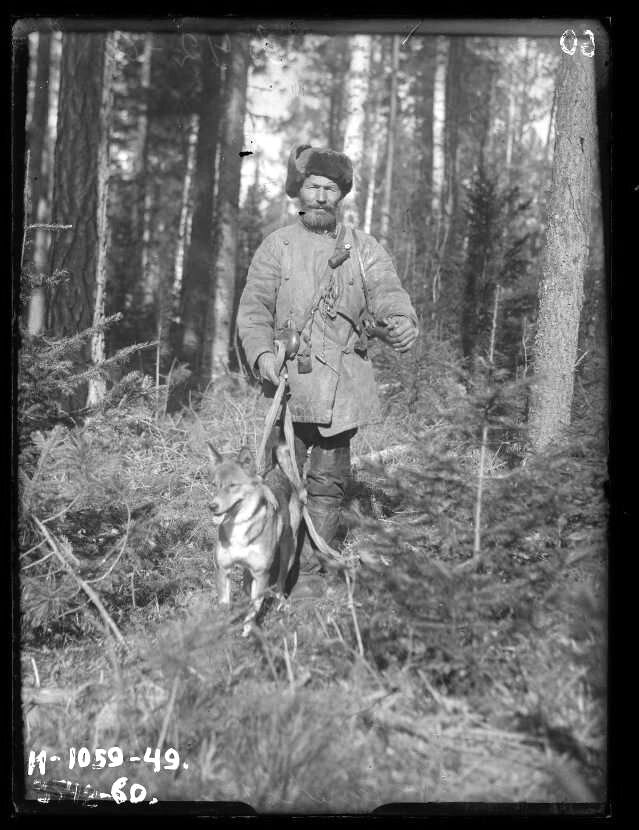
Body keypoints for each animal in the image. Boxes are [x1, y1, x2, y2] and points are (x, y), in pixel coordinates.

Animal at [206, 442, 304, 636]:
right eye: (214, 485)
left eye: (232, 485)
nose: (212, 506)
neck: (239, 526)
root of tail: (277, 470)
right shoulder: (223, 570)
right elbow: (225, 606)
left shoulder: (261, 574)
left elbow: (253, 610)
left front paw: (247, 634)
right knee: (246, 586)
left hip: (288, 552)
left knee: (280, 583)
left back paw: (281, 605)